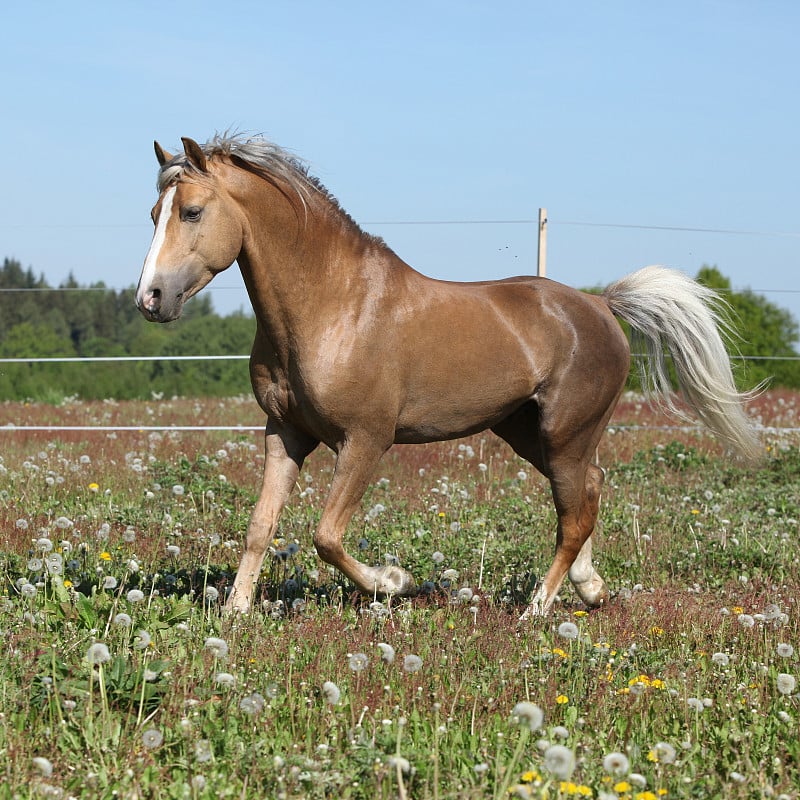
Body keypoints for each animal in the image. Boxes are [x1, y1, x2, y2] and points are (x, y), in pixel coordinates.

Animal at [133, 134, 764, 616]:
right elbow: (261, 524)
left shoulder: (366, 440)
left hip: (564, 434)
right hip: (528, 433)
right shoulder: (285, 432)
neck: (333, 305)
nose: (150, 299)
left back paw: (538, 607)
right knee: (589, 491)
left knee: (573, 514)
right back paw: (590, 590)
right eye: (154, 215)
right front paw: (237, 612)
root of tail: (601, 306)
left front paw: (395, 582)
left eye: (192, 212)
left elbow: (326, 536)